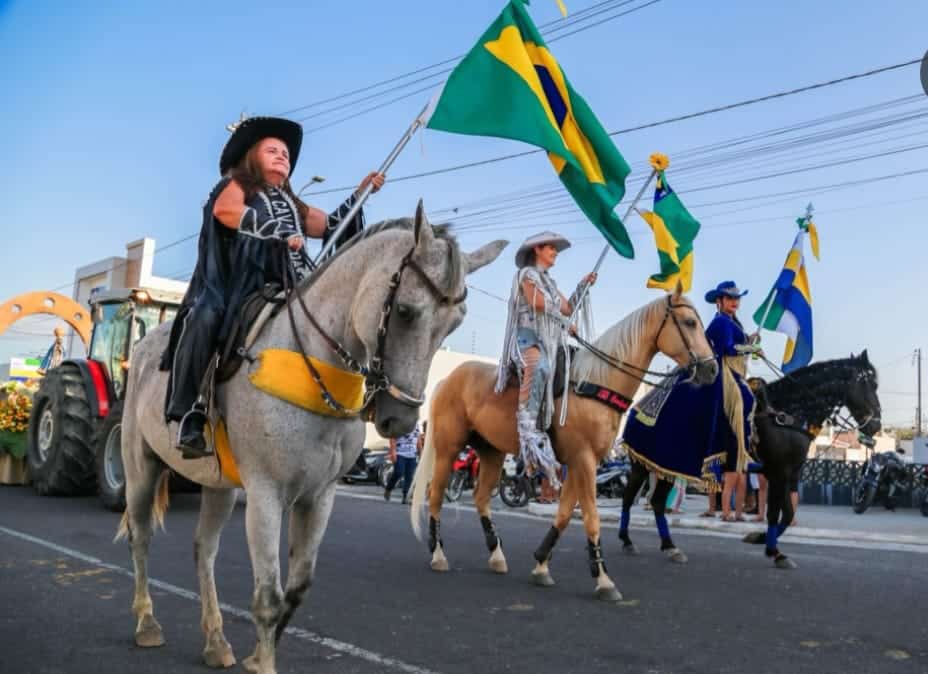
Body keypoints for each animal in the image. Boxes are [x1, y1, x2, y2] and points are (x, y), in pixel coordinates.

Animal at [117, 203, 506, 674]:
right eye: (405, 311)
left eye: (453, 325)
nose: (401, 420)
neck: (309, 365)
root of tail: (142, 349)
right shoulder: (265, 493)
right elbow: (268, 597)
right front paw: (263, 662)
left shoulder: (319, 496)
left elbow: (297, 589)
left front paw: (255, 656)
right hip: (140, 465)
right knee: (141, 536)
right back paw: (146, 624)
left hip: (220, 485)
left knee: (203, 549)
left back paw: (215, 641)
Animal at [410, 288, 719, 601]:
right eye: (690, 322)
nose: (711, 369)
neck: (594, 382)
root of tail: (447, 379)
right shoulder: (584, 461)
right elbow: (591, 517)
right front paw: (604, 580)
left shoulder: (579, 463)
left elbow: (564, 514)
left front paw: (541, 565)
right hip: (447, 450)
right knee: (435, 496)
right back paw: (438, 555)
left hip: (491, 452)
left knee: (481, 498)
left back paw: (496, 556)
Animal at [743, 351, 882, 568]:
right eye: (871, 385)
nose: (876, 425)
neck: (788, 413)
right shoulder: (777, 472)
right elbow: (775, 513)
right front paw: (773, 550)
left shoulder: (788, 473)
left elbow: (787, 514)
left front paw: (765, 541)